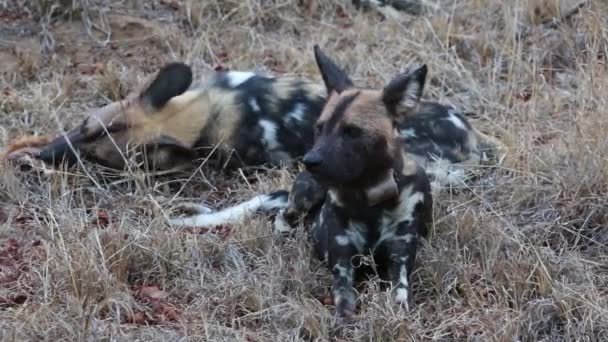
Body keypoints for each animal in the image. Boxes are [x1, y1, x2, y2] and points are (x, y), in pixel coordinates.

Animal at [166, 44, 440, 316]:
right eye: (320, 127)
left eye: (352, 132)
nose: (310, 160)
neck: (368, 196)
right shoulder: (343, 265)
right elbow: (344, 302)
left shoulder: (399, 261)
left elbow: (400, 299)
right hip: (307, 192)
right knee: (283, 214)